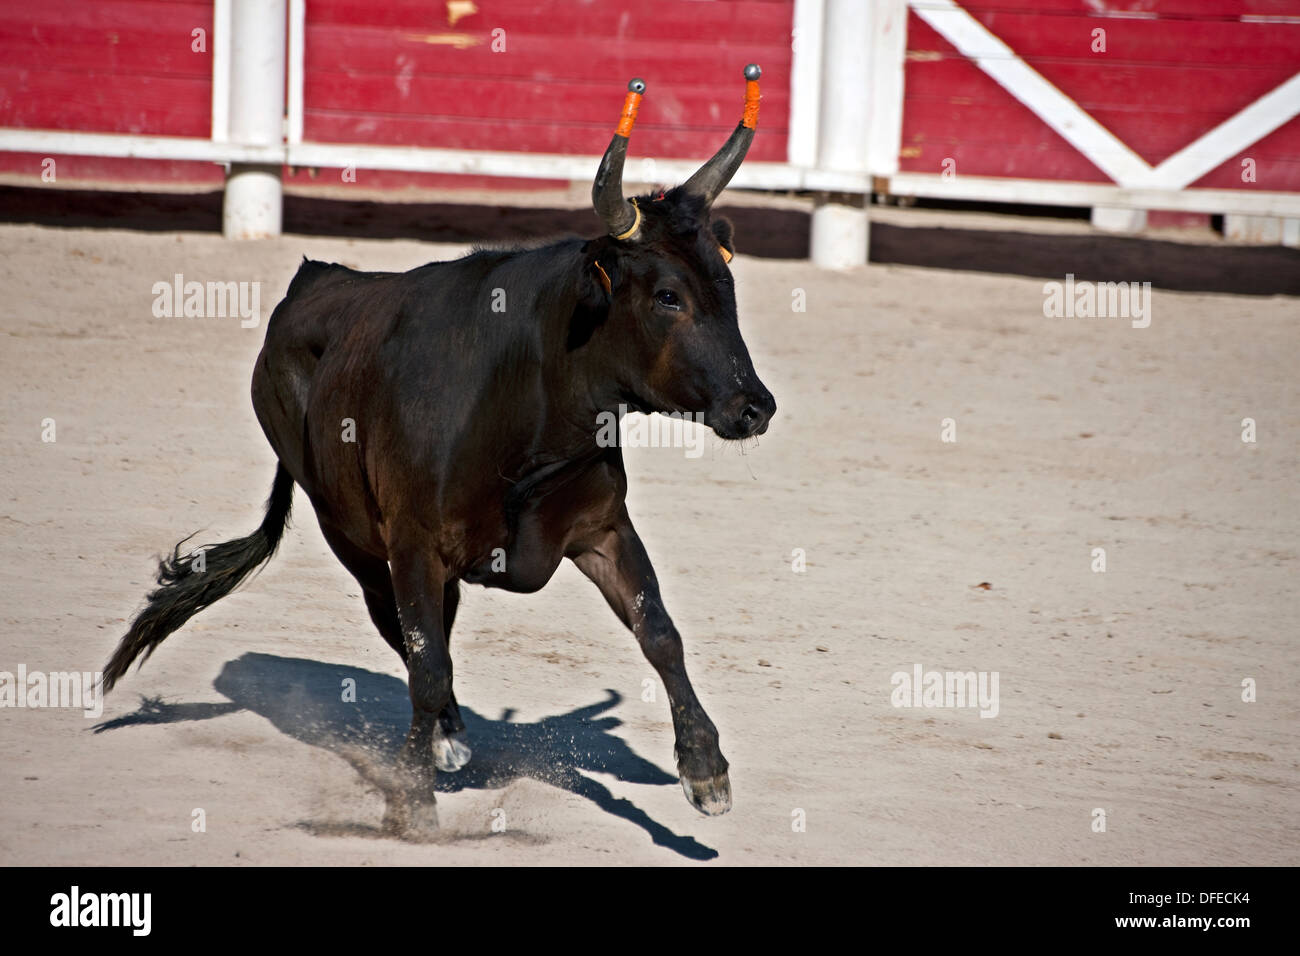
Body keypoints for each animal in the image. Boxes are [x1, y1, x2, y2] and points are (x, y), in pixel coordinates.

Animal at [104, 64, 777, 835]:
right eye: (668, 296)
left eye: (726, 282)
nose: (755, 406)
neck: (530, 406)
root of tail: (312, 278)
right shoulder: (414, 545)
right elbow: (426, 666)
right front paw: (415, 805)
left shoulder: (604, 529)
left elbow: (659, 631)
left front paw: (706, 770)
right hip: (355, 539)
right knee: (411, 643)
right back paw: (442, 748)